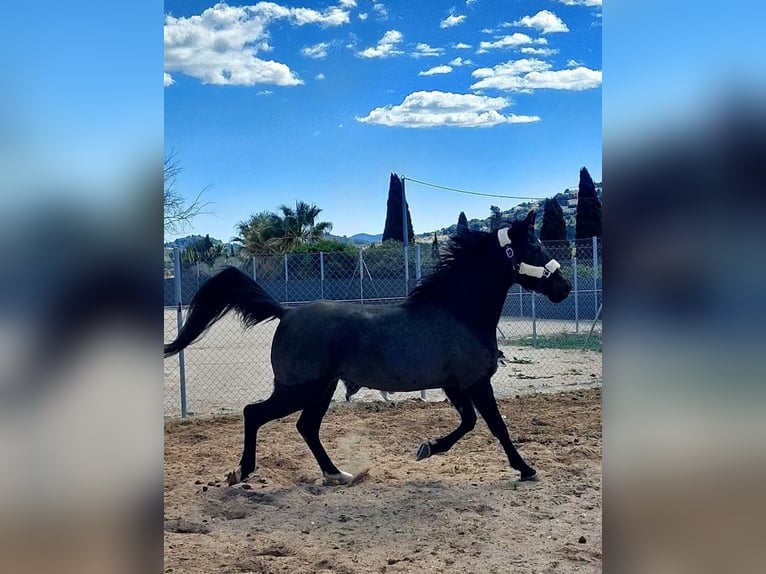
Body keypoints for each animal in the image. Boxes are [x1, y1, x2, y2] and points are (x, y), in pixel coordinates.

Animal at [164, 210, 572, 486]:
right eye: (534, 247)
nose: (564, 288)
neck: (459, 311)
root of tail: (286, 313)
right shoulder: (475, 382)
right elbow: (496, 427)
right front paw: (526, 469)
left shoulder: (455, 385)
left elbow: (469, 423)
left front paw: (427, 448)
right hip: (299, 388)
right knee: (255, 413)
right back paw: (241, 471)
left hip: (321, 389)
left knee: (306, 427)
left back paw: (337, 474)